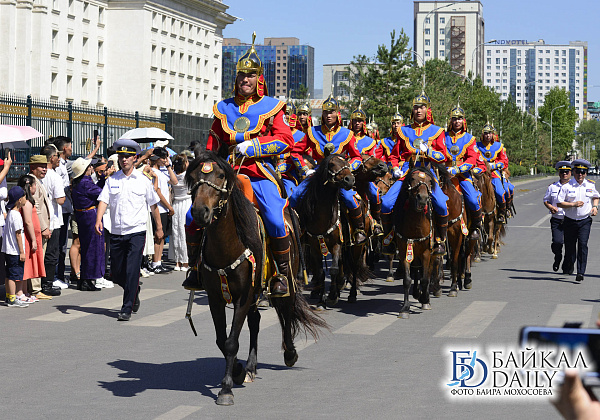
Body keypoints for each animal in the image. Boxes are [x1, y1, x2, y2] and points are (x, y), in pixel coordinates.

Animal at [188, 150, 328, 404]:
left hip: (283, 279)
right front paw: (238, 370)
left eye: (221, 175)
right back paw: (251, 367)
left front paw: (226, 389)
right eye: (193, 176)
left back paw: (290, 353)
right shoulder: (216, 298)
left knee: (286, 311)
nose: (199, 212)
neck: (227, 244)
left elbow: (231, 342)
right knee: (256, 322)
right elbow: (222, 340)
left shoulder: (243, 296)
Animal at [296, 153, 356, 308]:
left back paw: (352, 294)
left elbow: (334, 269)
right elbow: (320, 272)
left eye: (347, 163)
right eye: (332, 164)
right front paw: (321, 301)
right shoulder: (315, 247)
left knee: (352, 266)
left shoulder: (337, 244)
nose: (350, 179)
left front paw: (333, 296)